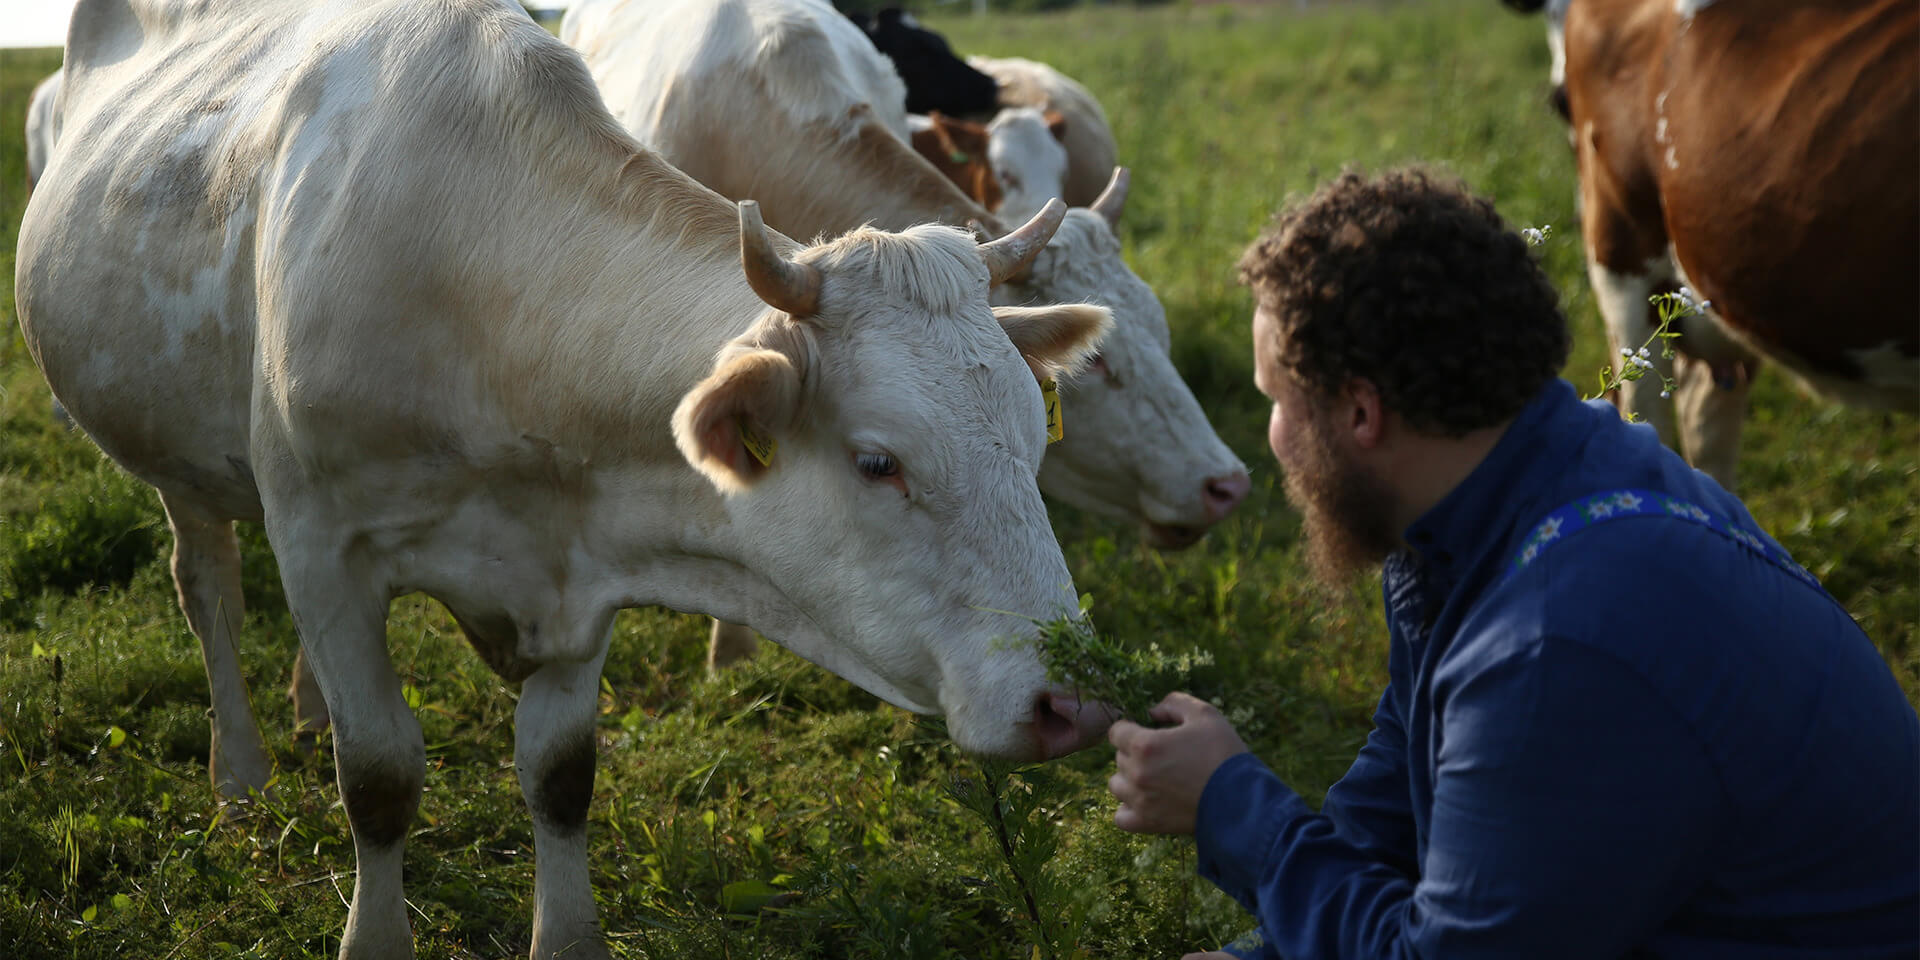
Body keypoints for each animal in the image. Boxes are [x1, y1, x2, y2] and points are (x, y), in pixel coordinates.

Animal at [15, 3, 1121, 956]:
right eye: (879, 462)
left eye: (1034, 441)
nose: (1073, 700)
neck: (477, 301)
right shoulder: (324, 544)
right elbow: (378, 775)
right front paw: (374, 934)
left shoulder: (582, 553)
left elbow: (560, 775)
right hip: (178, 462)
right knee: (211, 594)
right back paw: (240, 773)